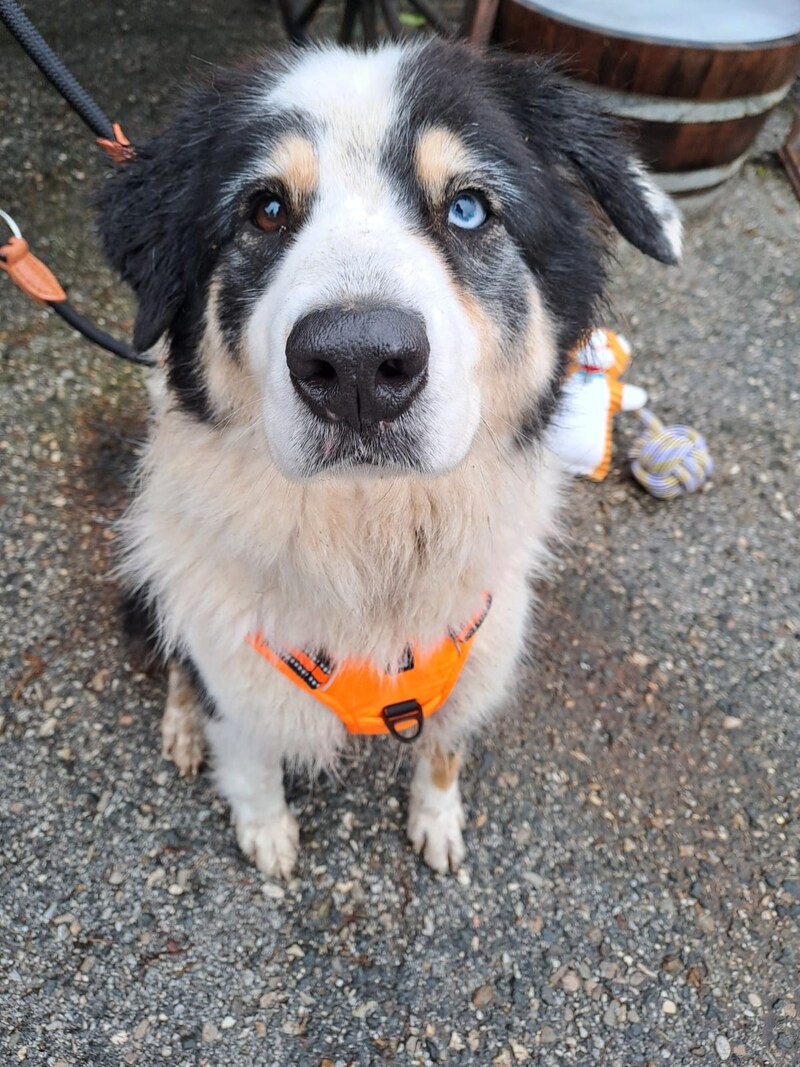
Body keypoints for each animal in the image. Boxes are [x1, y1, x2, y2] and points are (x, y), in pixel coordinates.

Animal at [97, 39, 678, 874]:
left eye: (469, 208)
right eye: (265, 210)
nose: (358, 365)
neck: (372, 540)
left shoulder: (481, 642)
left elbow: (444, 750)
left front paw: (438, 822)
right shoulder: (235, 664)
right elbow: (248, 754)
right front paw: (266, 832)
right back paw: (181, 727)